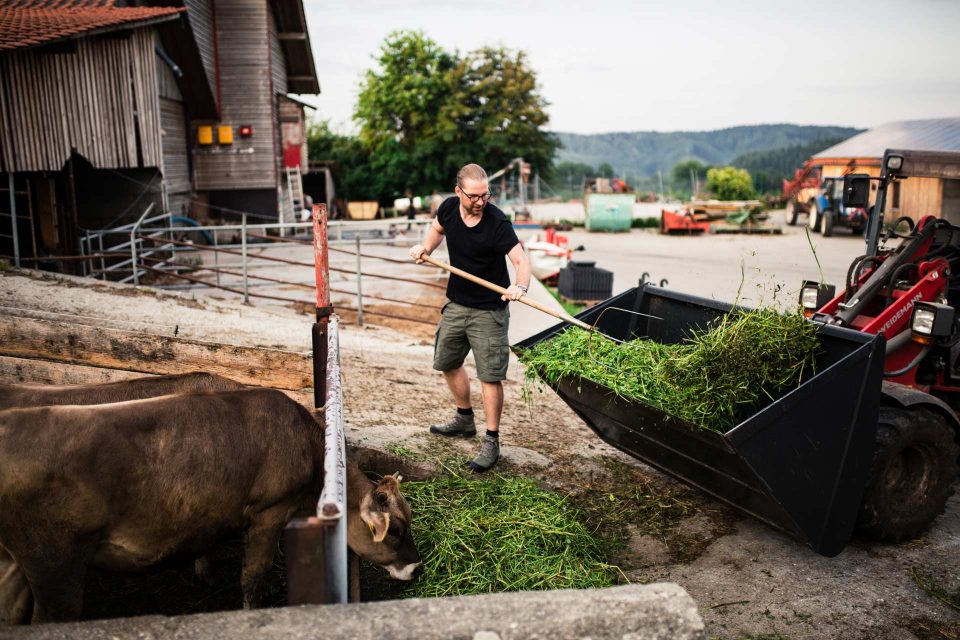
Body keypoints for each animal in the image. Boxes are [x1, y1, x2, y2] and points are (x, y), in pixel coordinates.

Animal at [0, 388, 420, 624]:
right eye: (396, 530)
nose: (416, 568)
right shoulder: (270, 513)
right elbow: (253, 576)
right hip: (55, 563)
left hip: (18, 561)